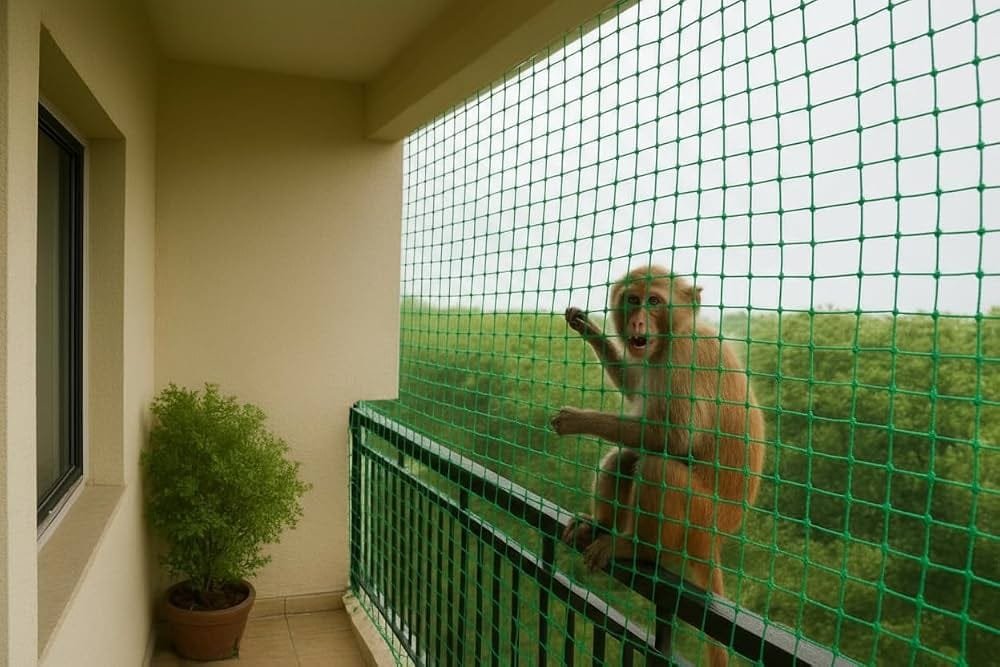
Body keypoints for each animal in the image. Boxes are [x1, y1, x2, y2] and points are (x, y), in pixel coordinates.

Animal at [551, 265, 765, 667]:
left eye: (653, 301)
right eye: (633, 300)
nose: (637, 319)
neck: (669, 338)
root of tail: (717, 538)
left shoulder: (684, 355)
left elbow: (675, 438)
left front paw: (580, 420)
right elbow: (636, 387)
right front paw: (590, 329)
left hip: (700, 519)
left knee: (658, 468)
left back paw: (637, 549)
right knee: (625, 458)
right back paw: (601, 525)